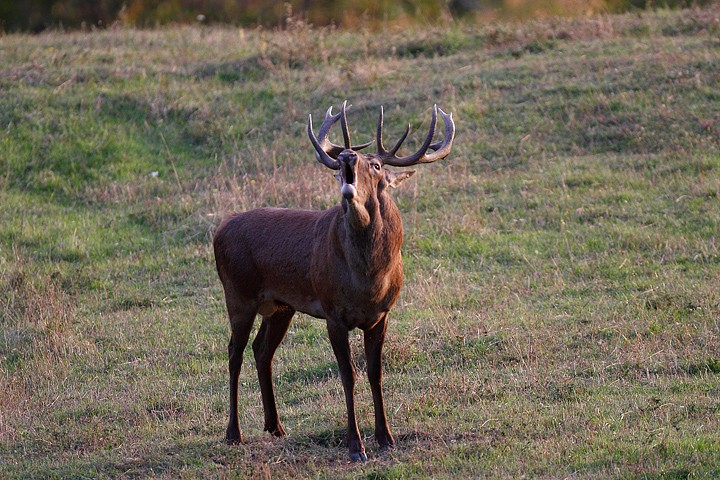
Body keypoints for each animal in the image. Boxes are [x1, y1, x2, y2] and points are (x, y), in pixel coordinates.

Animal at [211, 100, 456, 462]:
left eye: (377, 165)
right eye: (342, 164)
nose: (347, 156)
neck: (368, 282)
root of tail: (218, 230)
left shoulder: (381, 315)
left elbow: (375, 373)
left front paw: (386, 437)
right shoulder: (333, 313)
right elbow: (348, 375)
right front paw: (355, 445)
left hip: (281, 305)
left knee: (261, 350)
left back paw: (275, 426)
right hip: (238, 293)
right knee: (233, 352)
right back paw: (233, 433)